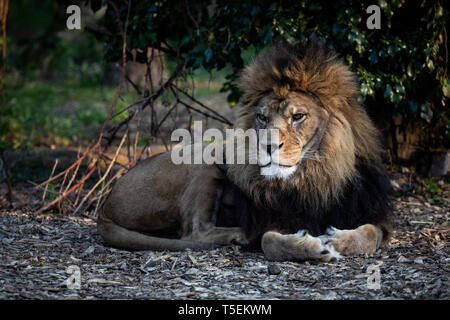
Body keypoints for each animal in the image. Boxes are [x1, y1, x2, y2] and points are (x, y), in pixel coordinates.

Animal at [96, 41, 392, 262]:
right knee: (194, 232)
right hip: (204, 160)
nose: (268, 146)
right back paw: (239, 235)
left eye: (297, 117)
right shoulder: (271, 219)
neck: (311, 178)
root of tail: (105, 205)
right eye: (262, 117)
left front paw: (336, 239)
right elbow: (269, 240)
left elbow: (369, 235)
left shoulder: (370, 214)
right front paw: (313, 246)